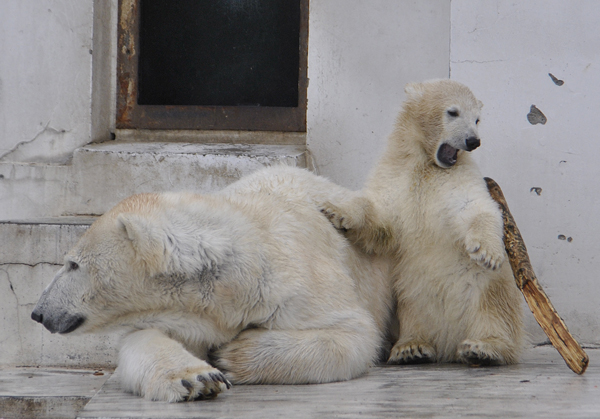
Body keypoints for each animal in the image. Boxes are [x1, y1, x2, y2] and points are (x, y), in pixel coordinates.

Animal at [30, 167, 394, 404]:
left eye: (73, 264)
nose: (38, 312)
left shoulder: (297, 284)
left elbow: (352, 333)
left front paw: (230, 355)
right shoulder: (183, 311)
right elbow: (141, 342)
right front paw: (199, 378)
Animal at [322, 79, 524, 368]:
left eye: (477, 118)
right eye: (453, 112)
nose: (473, 141)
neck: (427, 163)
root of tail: (449, 340)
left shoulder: (458, 178)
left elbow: (475, 208)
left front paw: (487, 252)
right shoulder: (395, 175)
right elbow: (379, 212)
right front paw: (335, 210)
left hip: (483, 291)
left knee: (494, 302)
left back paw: (484, 348)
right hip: (408, 289)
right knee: (411, 306)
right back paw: (411, 347)